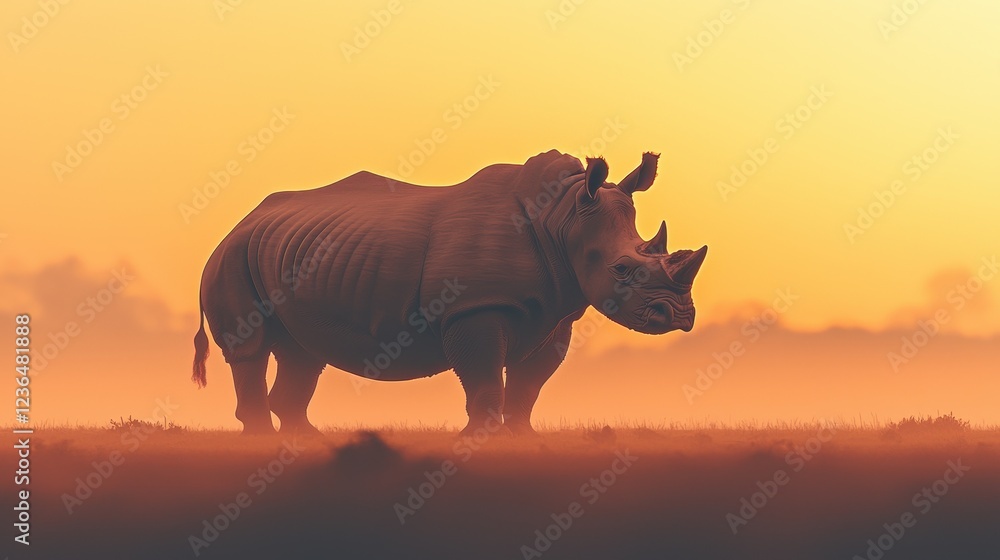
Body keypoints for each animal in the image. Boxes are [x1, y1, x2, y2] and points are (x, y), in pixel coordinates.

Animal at [192, 150, 707, 435]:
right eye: (622, 269)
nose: (679, 315)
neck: (562, 218)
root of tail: (240, 222)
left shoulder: (557, 314)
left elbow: (529, 384)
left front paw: (524, 438)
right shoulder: (472, 308)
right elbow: (484, 378)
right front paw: (484, 439)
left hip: (287, 251)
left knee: (303, 353)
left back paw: (307, 439)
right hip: (232, 256)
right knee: (251, 350)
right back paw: (264, 440)